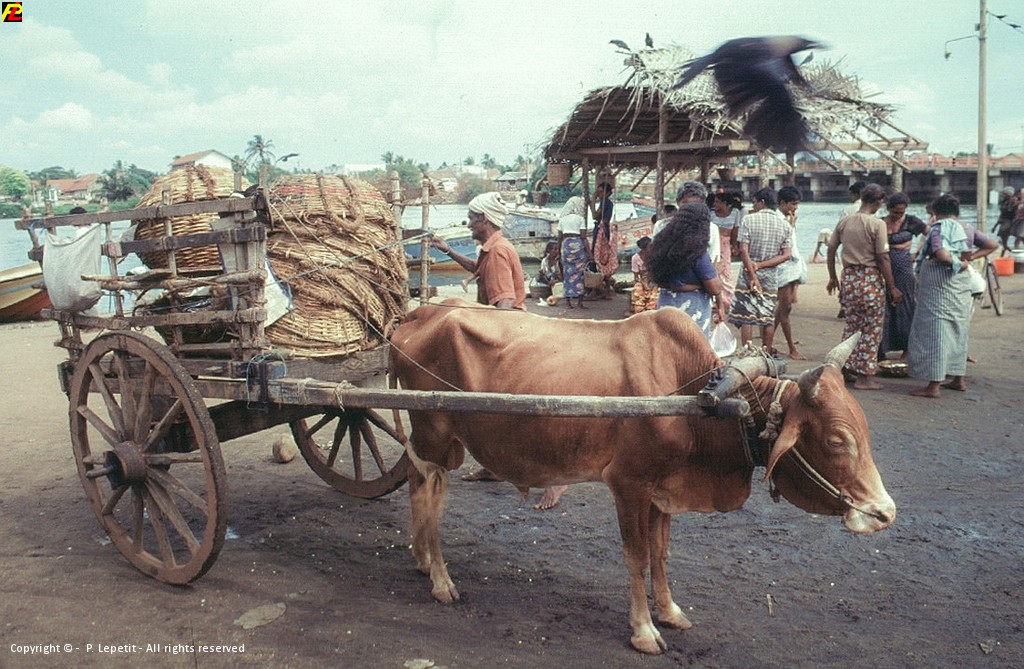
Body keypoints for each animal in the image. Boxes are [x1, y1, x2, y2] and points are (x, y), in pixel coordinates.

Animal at [388, 299, 895, 654]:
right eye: (836, 441)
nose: (884, 513)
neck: (701, 400)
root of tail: (417, 314)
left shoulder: (661, 491)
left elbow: (660, 553)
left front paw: (668, 611)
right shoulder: (629, 486)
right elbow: (636, 557)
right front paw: (644, 630)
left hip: (436, 442)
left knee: (415, 483)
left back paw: (421, 560)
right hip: (436, 438)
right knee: (431, 496)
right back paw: (441, 581)